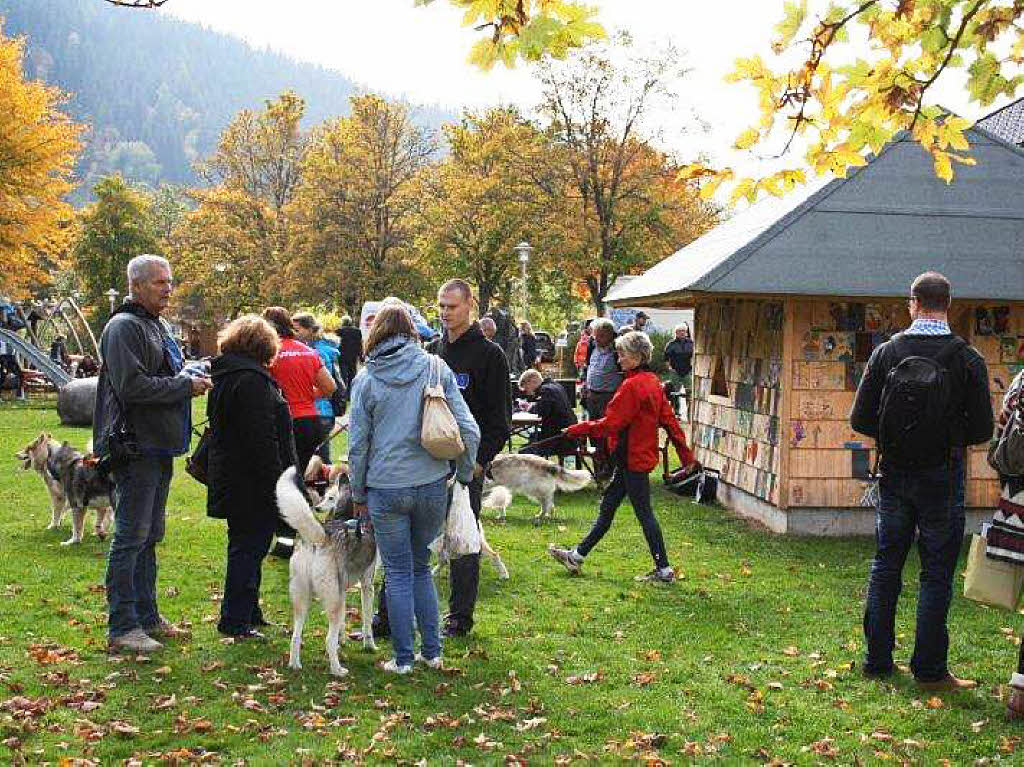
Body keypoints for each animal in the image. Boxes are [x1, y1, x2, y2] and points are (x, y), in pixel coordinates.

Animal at [274, 466, 378, 675]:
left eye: (330, 497)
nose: (318, 508)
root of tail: (322, 537)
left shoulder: (342, 591)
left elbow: (343, 626)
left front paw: (343, 640)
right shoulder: (367, 586)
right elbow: (367, 622)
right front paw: (369, 646)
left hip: (303, 601)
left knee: (295, 636)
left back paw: (295, 665)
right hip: (331, 602)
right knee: (328, 640)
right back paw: (337, 670)